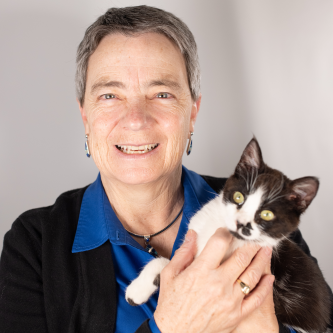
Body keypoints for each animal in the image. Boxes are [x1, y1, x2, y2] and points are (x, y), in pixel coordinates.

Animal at [124, 137, 330, 332]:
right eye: (239, 197)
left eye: (267, 214)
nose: (242, 224)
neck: (218, 229)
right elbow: (168, 262)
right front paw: (137, 290)